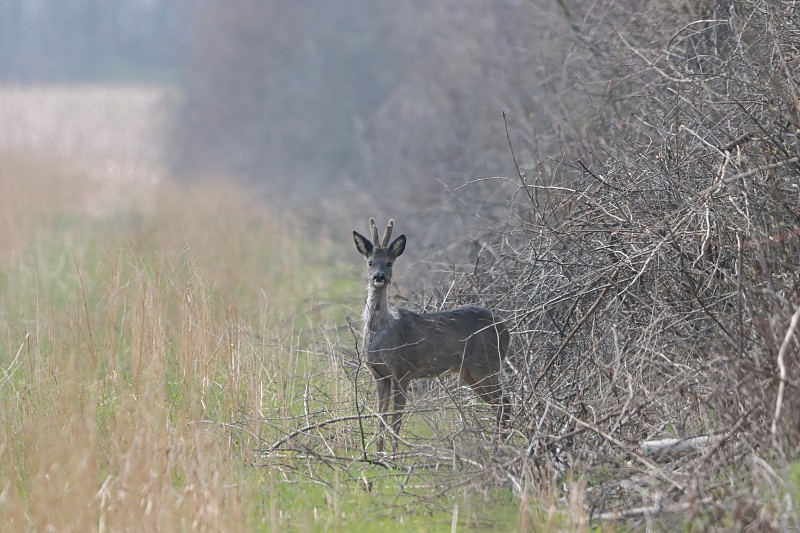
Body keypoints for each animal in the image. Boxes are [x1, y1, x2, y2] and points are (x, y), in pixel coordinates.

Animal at [352, 216, 512, 454]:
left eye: (389, 262)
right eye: (370, 262)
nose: (379, 277)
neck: (381, 334)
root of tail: (506, 329)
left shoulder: (402, 370)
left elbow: (396, 420)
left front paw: (394, 456)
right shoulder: (379, 375)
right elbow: (381, 419)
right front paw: (378, 455)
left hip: (486, 363)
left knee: (505, 403)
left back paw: (499, 450)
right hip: (469, 372)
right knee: (500, 405)